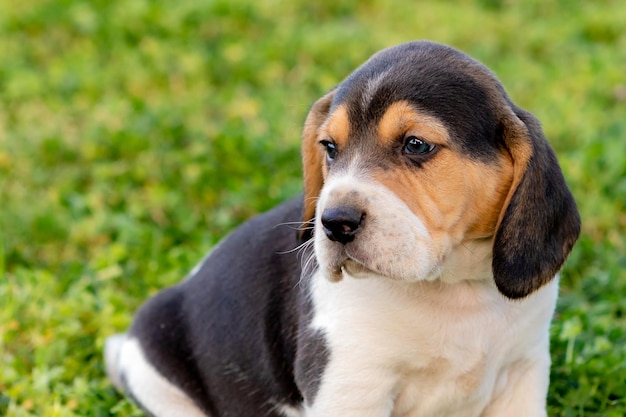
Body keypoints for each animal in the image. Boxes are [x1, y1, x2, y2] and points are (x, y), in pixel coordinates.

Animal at [105, 39, 576, 416]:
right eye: (329, 148)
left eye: (416, 145)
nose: (334, 223)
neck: (451, 288)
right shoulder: (352, 382)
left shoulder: (523, 370)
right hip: (157, 371)